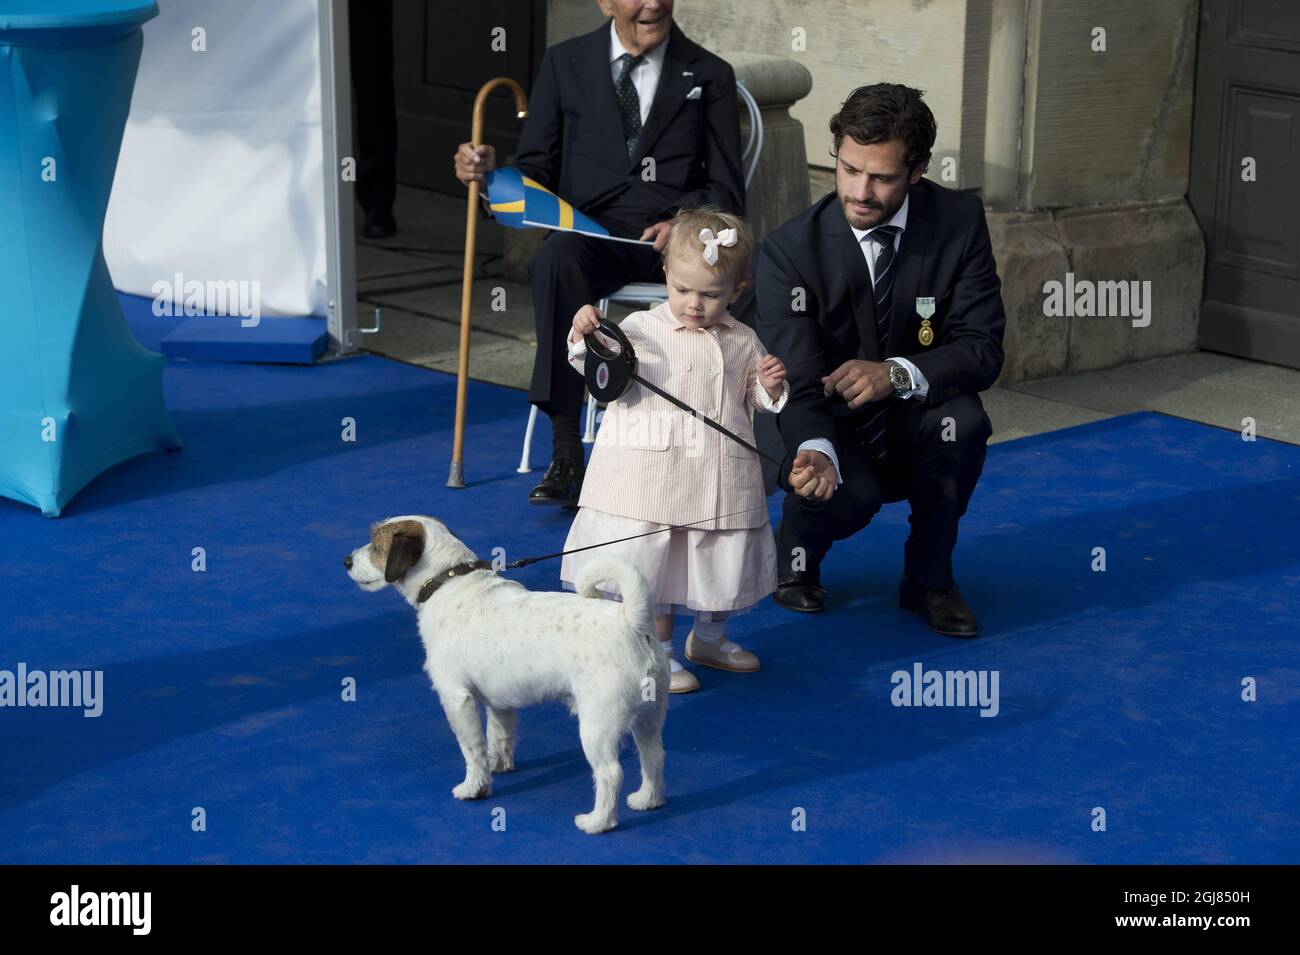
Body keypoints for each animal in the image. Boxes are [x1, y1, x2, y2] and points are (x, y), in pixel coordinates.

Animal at [345, 514, 670, 836]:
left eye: (376, 545)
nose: (346, 561)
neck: (447, 581)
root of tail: (631, 621)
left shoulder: (457, 699)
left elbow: (472, 749)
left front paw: (474, 788)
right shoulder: (499, 703)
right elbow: (499, 737)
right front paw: (499, 766)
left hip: (597, 726)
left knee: (610, 774)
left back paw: (597, 822)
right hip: (648, 719)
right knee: (654, 755)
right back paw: (647, 800)